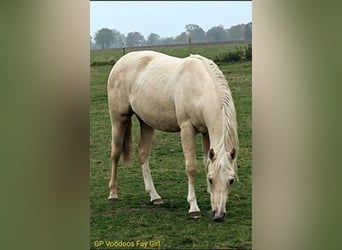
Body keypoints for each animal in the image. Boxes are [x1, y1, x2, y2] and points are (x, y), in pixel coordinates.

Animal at [107, 49, 238, 221]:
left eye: (231, 181)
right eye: (211, 179)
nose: (218, 215)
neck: (198, 88)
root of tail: (121, 61)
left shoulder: (206, 133)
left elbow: (206, 164)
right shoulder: (187, 128)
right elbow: (191, 167)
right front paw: (194, 208)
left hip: (147, 123)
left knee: (143, 153)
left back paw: (154, 196)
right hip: (119, 119)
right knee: (115, 153)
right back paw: (113, 194)